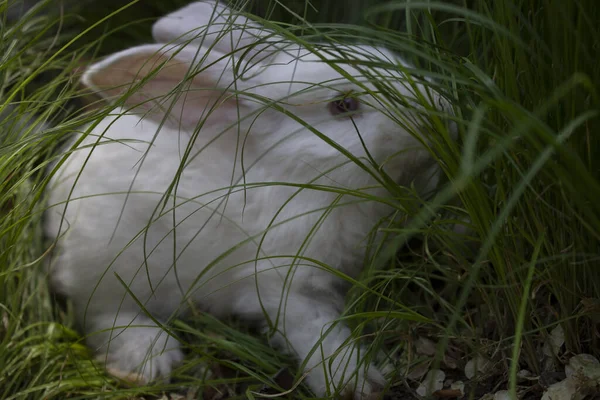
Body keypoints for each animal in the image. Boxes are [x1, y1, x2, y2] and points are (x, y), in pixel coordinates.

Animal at [44, 1, 452, 398]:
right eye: (344, 105)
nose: (441, 108)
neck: (304, 177)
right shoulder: (282, 284)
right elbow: (318, 331)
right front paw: (355, 382)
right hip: (111, 267)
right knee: (97, 312)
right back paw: (151, 354)